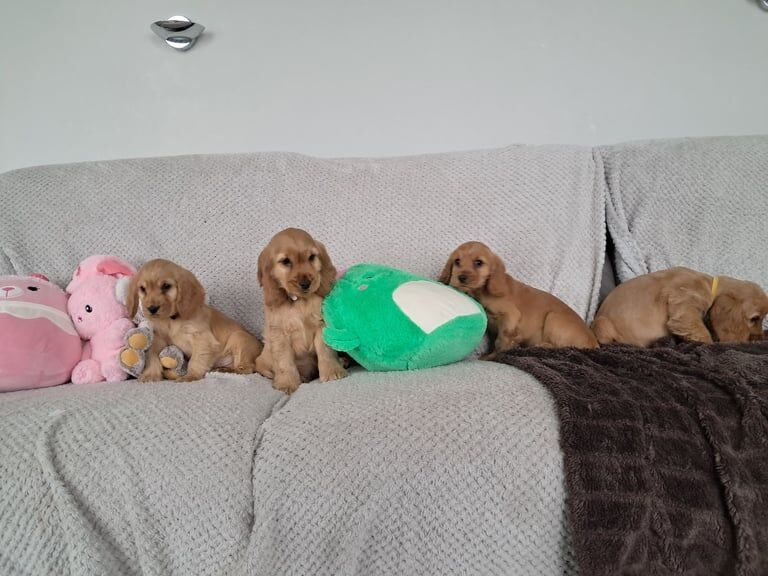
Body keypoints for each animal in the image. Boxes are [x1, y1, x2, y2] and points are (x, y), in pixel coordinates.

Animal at [254, 227, 346, 394]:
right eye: (285, 261)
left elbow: (325, 351)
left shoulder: (321, 325)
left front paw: (332, 372)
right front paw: (286, 383)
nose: (306, 283)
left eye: (311, 257)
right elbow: (284, 362)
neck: (299, 302)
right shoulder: (279, 334)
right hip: (262, 361)